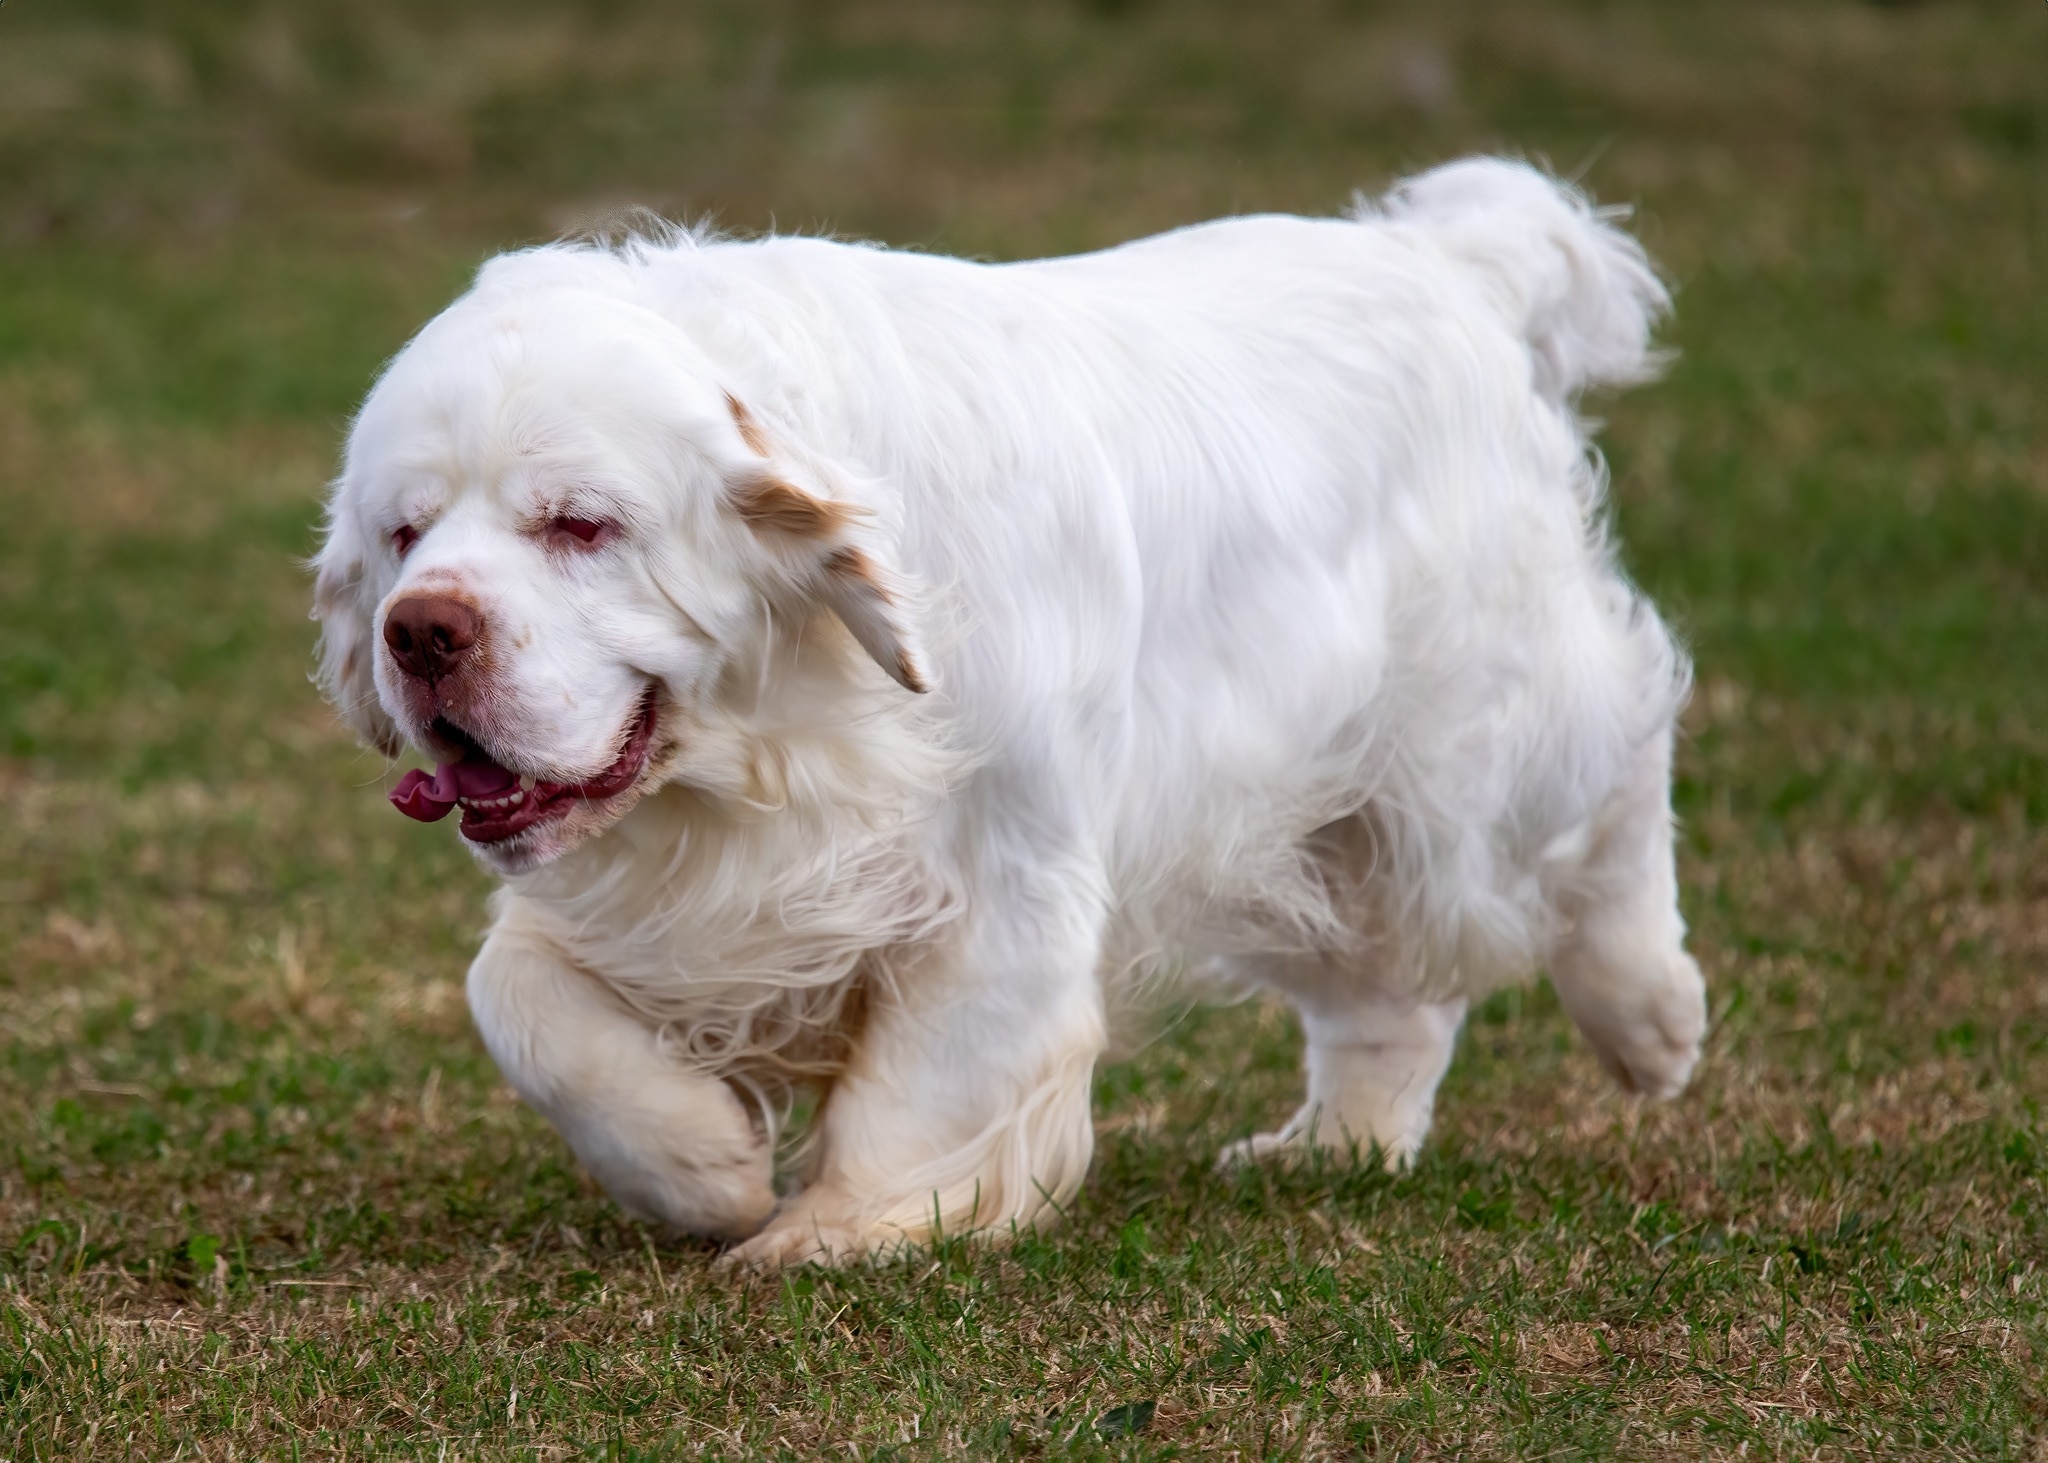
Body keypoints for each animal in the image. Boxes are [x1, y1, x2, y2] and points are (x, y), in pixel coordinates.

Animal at [311, 153, 1703, 1262]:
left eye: (580, 524)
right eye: (404, 532)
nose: (422, 629)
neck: (778, 735)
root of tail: (1442, 262)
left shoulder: (999, 867)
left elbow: (935, 1071)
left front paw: (839, 1227)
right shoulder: (652, 897)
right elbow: (515, 997)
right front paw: (702, 1165)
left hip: (1471, 747)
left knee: (1619, 772)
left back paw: (1650, 1017)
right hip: (1304, 808)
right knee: (1385, 991)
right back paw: (1334, 1146)